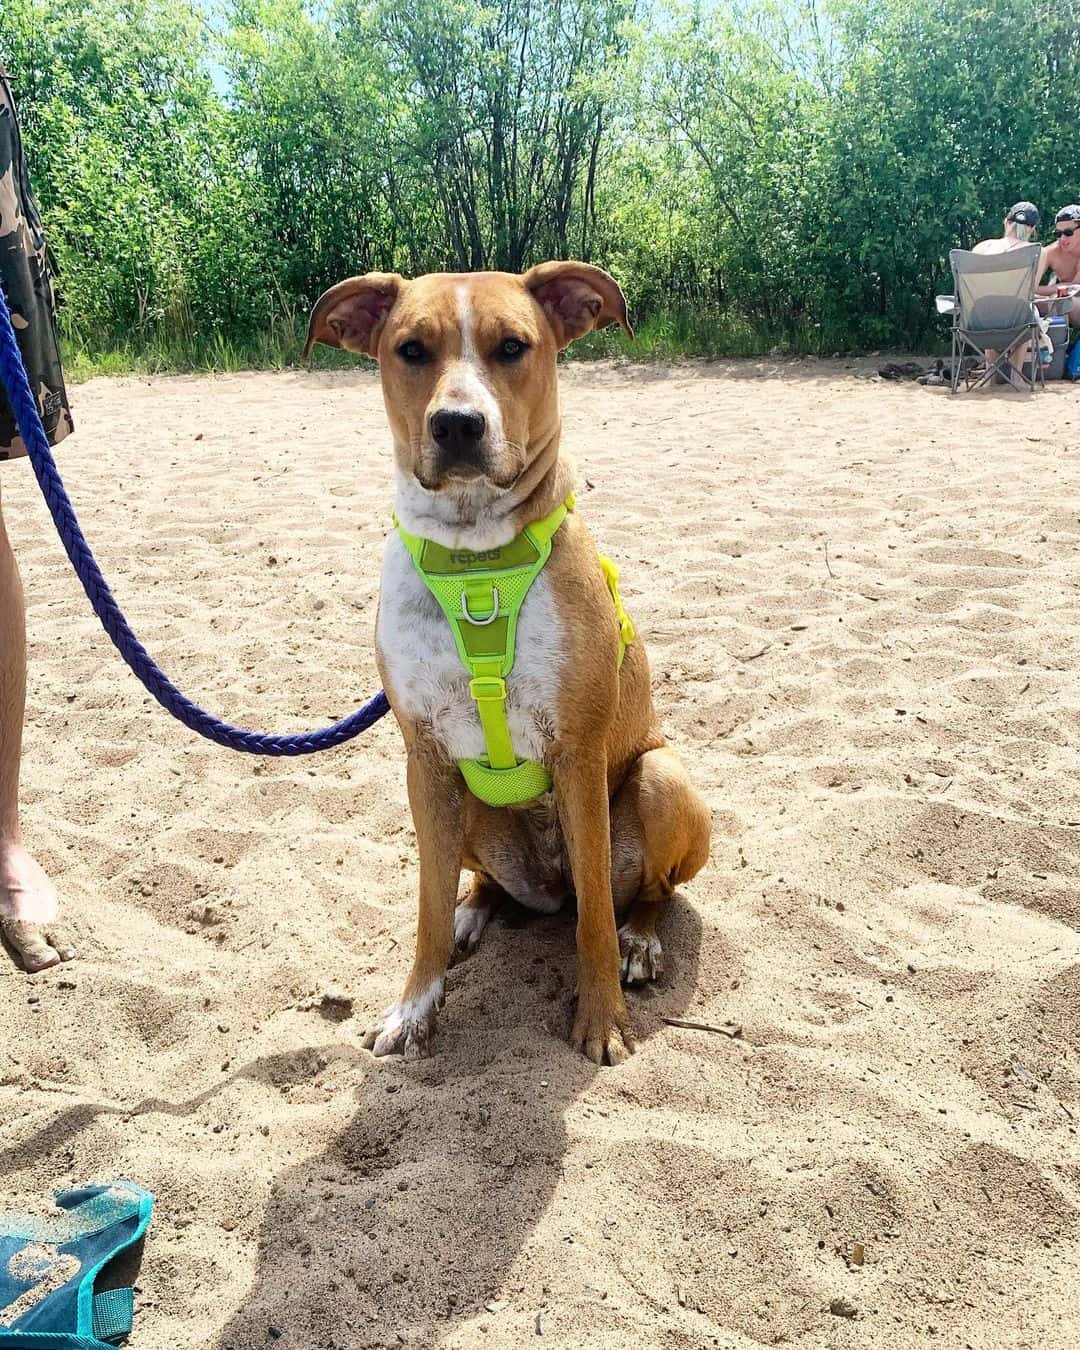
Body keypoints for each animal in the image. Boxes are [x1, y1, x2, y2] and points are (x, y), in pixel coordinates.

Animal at [306, 263, 707, 1063]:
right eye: (411, 349)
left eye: (514, 347)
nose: (458, 424)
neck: (476, 562)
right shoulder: (425, 761)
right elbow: (425, 910)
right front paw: (416, 1005)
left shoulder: (579, 754)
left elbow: (594, 925)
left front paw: (602, 1019)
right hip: (465, 803)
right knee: (490, 885)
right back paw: (477, 908)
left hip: (659, 778)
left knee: (642, 895)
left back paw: (642, 941)